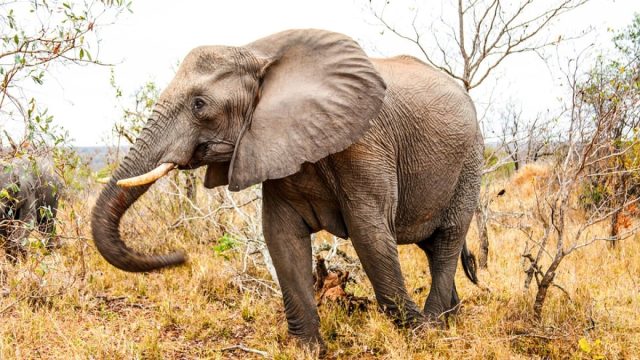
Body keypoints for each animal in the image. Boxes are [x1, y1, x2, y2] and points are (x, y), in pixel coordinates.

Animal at [89, 28, 480, 352]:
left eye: (199, 105)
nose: (181, 256)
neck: (256, 53)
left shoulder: (365, 143)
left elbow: (369, 234)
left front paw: (418, 335)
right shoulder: (273, 144)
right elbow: (281, 236)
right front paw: (308, 349)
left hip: (470, 161)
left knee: (446, 241)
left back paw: (435, 326)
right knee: (433, 247)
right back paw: (449, 320)